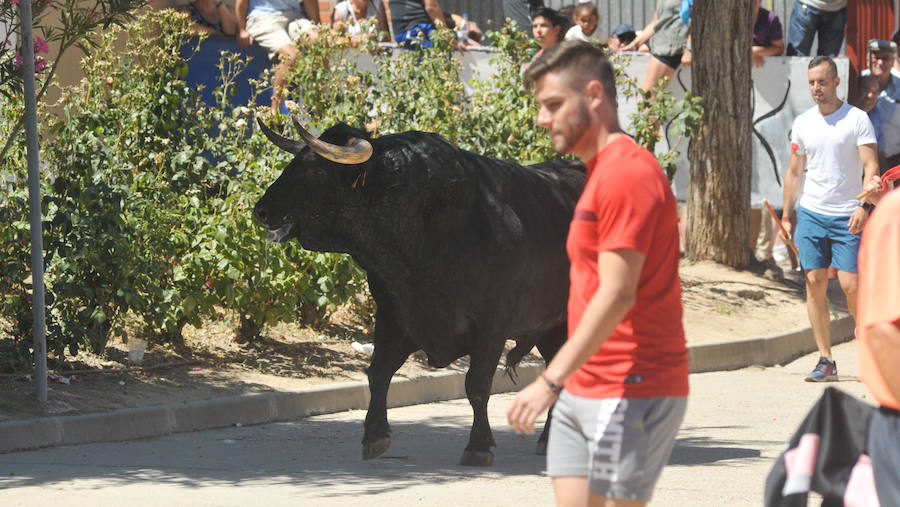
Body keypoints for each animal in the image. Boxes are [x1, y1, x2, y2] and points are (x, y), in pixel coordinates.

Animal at [253, 118, 588, 464]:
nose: (261, 210)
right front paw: (374, 435)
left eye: (318, 171)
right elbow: (378, 373)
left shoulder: (491, 326)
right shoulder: (393, 315)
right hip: (552, 326)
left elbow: (477, 384)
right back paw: (548, 440)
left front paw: (478, 445)